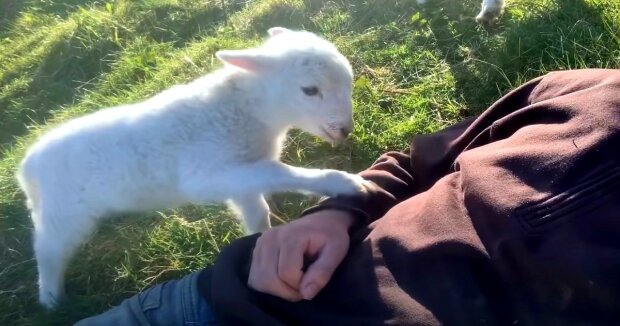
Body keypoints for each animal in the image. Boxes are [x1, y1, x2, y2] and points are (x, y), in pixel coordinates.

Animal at [15, 26, 372, 308]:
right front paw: (345, 184)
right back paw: (51, 300)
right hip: (63, 214)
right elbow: (278, 174)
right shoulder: (206, 172)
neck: (250, 110)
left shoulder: (239, 175)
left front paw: (259, 242)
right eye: (310, 90)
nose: (345, 130)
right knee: (47, 250)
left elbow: (257, 210)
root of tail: (27, 167)